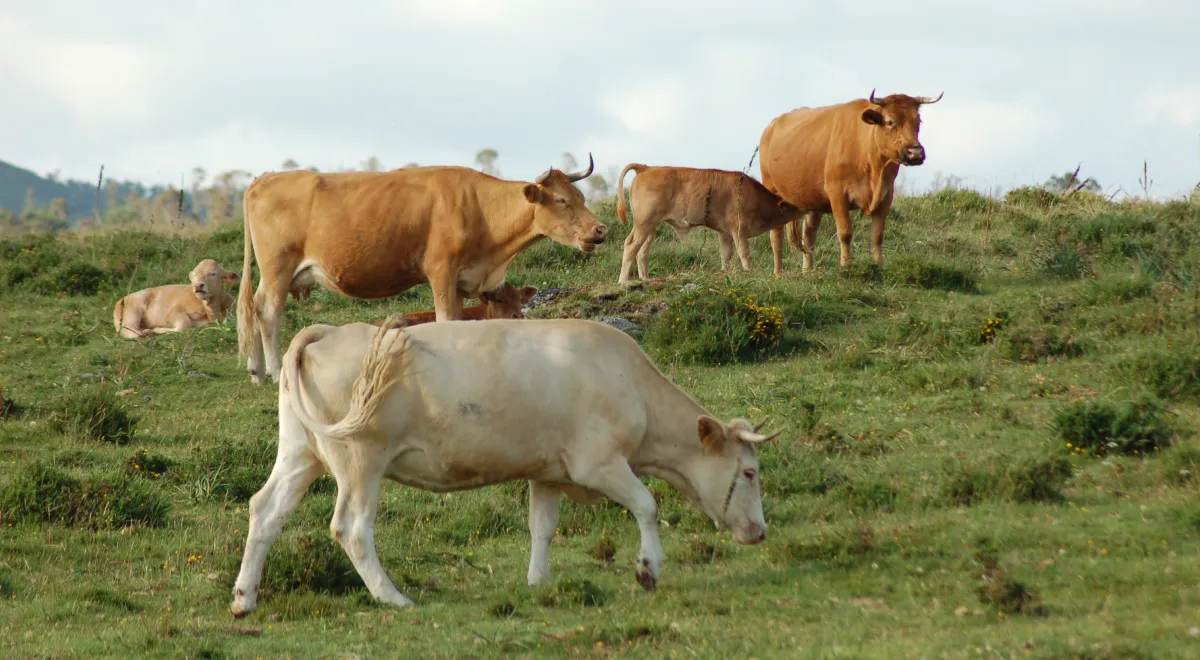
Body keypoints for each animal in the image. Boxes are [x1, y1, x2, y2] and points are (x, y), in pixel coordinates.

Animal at [230, 319, 777, 619]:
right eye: (750, 473)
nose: (760, 532)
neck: (629, 380)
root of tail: (331, 333)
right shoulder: (598, 463)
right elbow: (646, 504)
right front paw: (648, 569)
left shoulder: (549, 470)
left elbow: (542, 527)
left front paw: (539, 581)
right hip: (361, 459)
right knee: (352, 527)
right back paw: (393, 598)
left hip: (301, 453)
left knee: (266, 510)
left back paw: (244, 598)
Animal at [614, 164, 801, 283]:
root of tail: (646, 168)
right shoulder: (738, 227)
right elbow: (743, 251)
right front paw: (748, 271)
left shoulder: (725, 232)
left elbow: (725, 254)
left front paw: (726, 272)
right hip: (644, 223)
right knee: (631, 246)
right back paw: (623, 281)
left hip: (649, 226)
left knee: (641, 250)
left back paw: (645, 278)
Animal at [758, 89, 945, 276]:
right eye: (890, 121)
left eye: (918, 121)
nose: (916, 153)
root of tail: (771, 126)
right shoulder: (837, 193)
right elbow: (845, 232)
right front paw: (846, 265)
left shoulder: (886, 195)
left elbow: (877, 235)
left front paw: (879, 265)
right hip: (771, 190)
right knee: (776, 235)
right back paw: (778, 274)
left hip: (813, 199)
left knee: (809, 233)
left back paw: (807, 272)